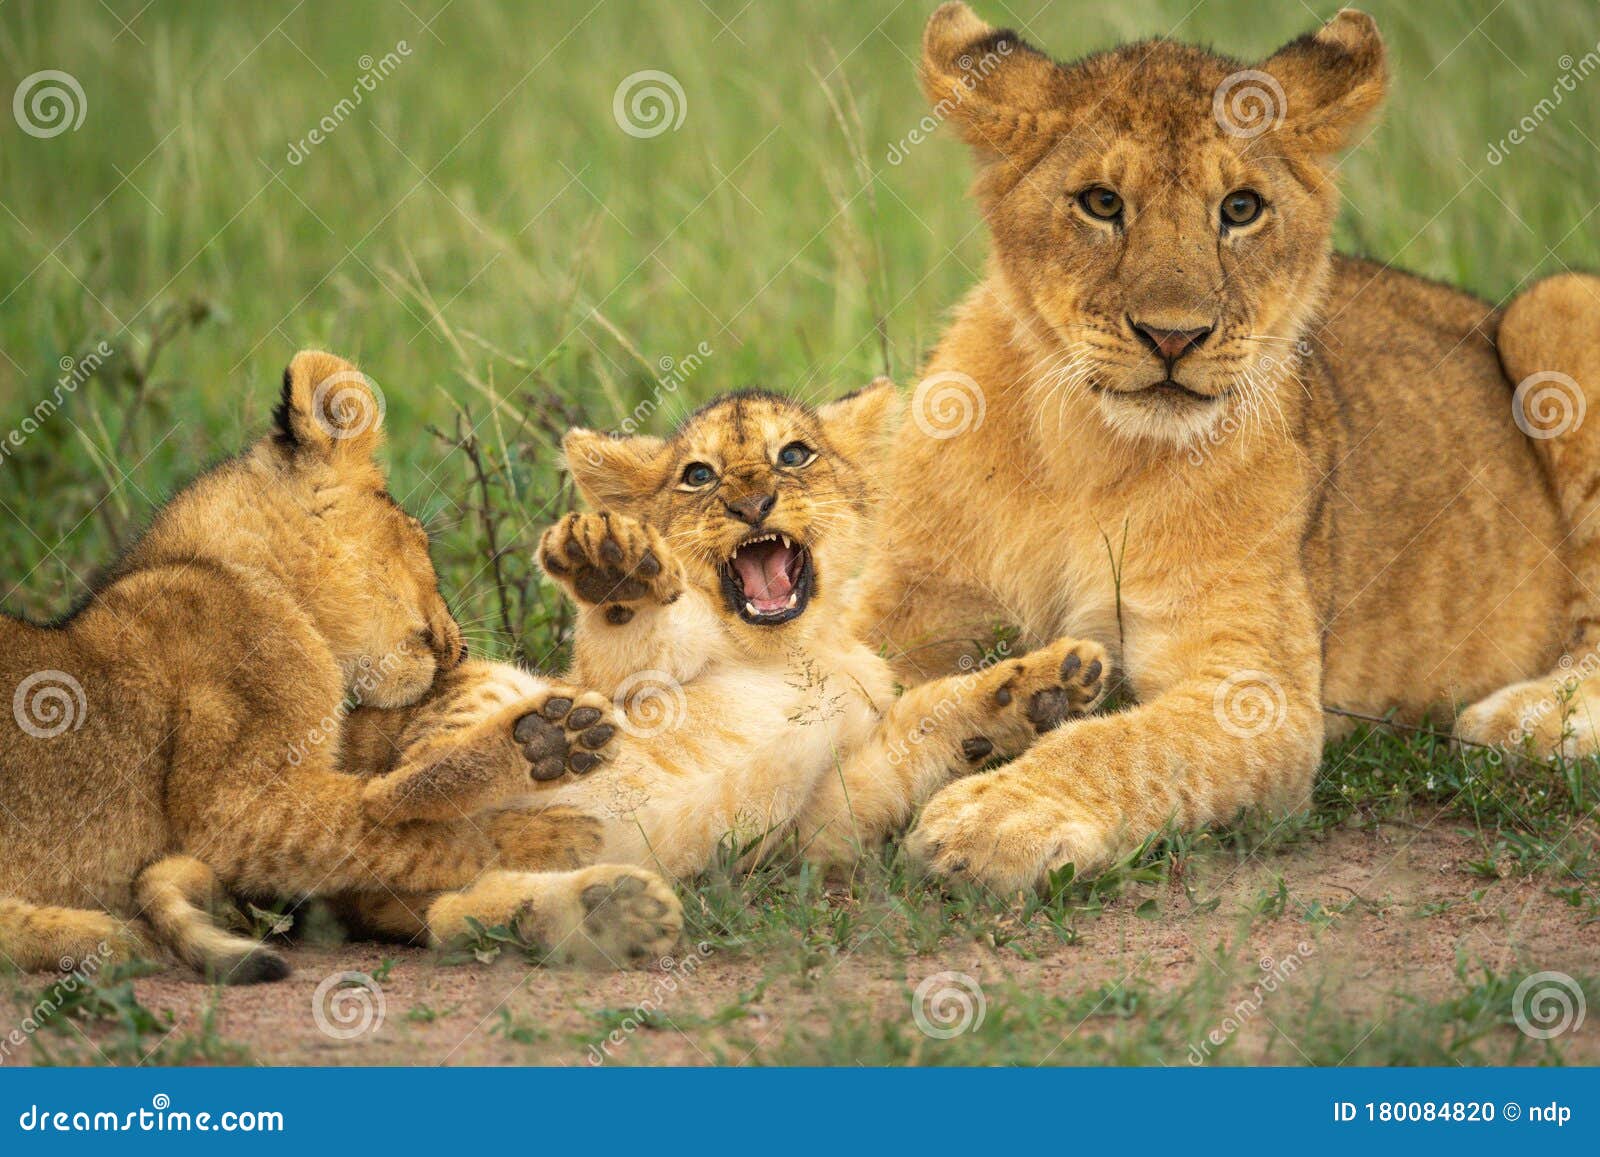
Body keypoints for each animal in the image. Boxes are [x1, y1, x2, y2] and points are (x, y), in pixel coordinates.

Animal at [0, 350, 680, 981]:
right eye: (421, 541)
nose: (460, 648)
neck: (242, 574)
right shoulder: (233, 806)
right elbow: (391, 829)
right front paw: (544, 812)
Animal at [841, 3, 1600, 891]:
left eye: (1240, 208)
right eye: (1101, 202)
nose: (1173, 335)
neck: (1084, 454)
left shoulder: (1256, 689)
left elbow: (1123, 744)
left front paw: (994, 816)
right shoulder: (910, 600)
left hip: (1558, 302)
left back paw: (1526, 717)